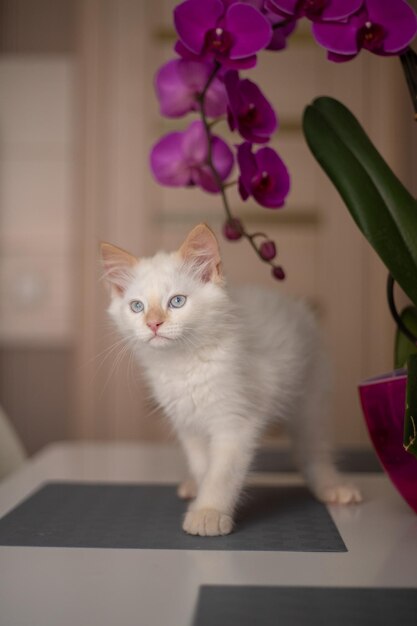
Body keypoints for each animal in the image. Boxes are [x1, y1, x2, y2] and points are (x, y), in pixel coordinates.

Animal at [101, 222, 360, 532]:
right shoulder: (188, 423)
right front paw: (202, 496)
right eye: (137, 307)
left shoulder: (236, 420)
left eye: (177, 301)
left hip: (311, 394)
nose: (153, 324)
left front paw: (209, 512)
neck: (183, 364)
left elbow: (222, 473)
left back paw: (332, 486)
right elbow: (204, 467)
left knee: (314, 450)